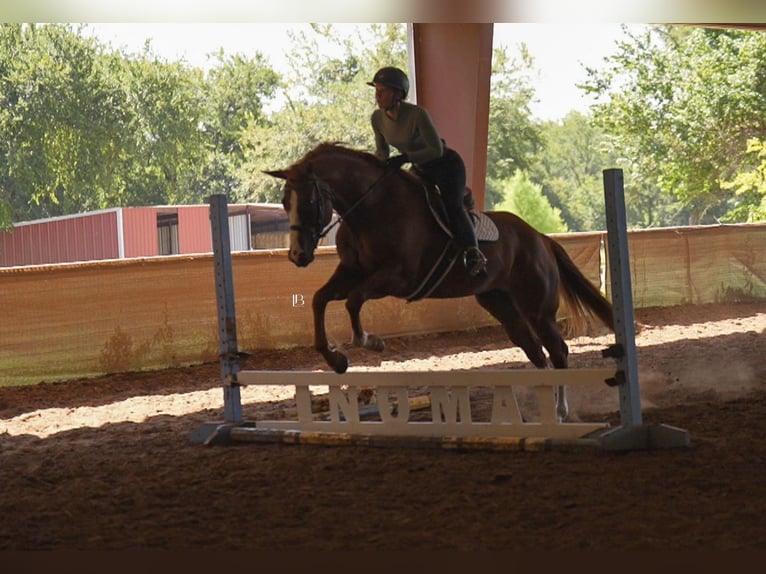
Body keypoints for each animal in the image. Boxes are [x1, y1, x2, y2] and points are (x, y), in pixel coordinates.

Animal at [265, 142, 614, 420]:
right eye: (284, 203)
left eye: (309, 202)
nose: (297, 255)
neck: (371, 209)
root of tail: (540, 238)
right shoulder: (351, 272)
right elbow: (320, 300)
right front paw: (336, 359)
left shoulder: (396, 278)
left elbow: (352, 301)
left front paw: (370, 342)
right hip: (502, 305)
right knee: (536, 352)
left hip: (538, 309)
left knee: (559, 351)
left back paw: (560, 411)